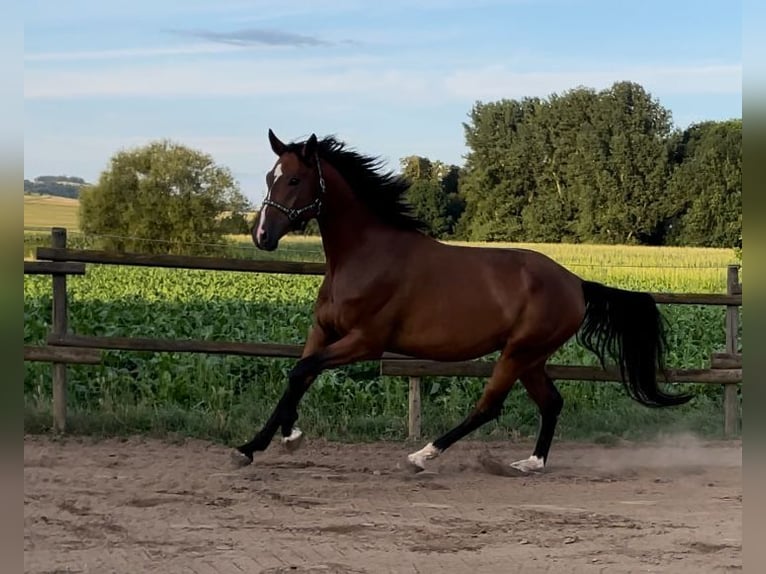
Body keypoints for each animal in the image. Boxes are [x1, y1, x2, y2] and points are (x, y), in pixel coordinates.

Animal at [231, 129, 692, 472]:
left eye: (294, 180)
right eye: (270, 177)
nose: (262, 236)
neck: (365, 255)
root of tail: (576, 283)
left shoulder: (365, 342)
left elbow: (301, 371)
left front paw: (287, 438)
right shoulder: (323, 331)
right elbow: (298, 375)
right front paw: (255, 445)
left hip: (518, 352)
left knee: (488, 407)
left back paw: (422, 456)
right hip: (531, 358)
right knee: (551, 402)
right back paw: (531, 463)